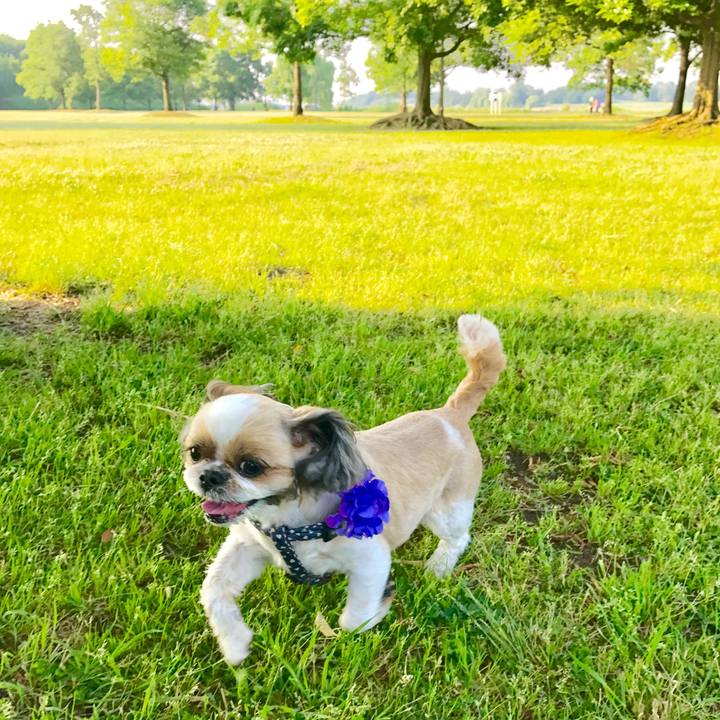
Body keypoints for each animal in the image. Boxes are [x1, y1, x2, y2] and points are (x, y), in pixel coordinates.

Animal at [182, 314, 506, 664]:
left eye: (251, 467)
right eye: (195, 453)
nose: (209, 477)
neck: (287, 516)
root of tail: (450, 415)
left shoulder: (370, 560)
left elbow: (354, 620)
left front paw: (377, 609)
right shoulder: (249, 546)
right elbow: (214, 588)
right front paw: (235, 642)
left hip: (447, 510)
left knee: (458, 536)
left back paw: (440, 566)